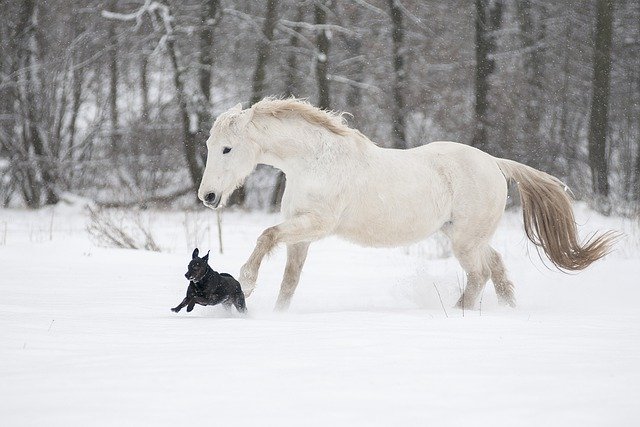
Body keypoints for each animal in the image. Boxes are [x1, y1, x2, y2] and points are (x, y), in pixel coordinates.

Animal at [196, 98, 616, 310]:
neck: (314, 161)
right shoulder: (301, 235)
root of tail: (496, 164)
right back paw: (507, 309)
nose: (208, 197)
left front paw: (247, 284)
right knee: (495, 266)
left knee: (479, 274)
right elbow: (289, 282)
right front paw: (276, 314)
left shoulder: (317, 224)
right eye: (209, 146)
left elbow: (265, 236)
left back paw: (459, 311)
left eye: (227, 148)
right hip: (468, 237)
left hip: (464, 241)